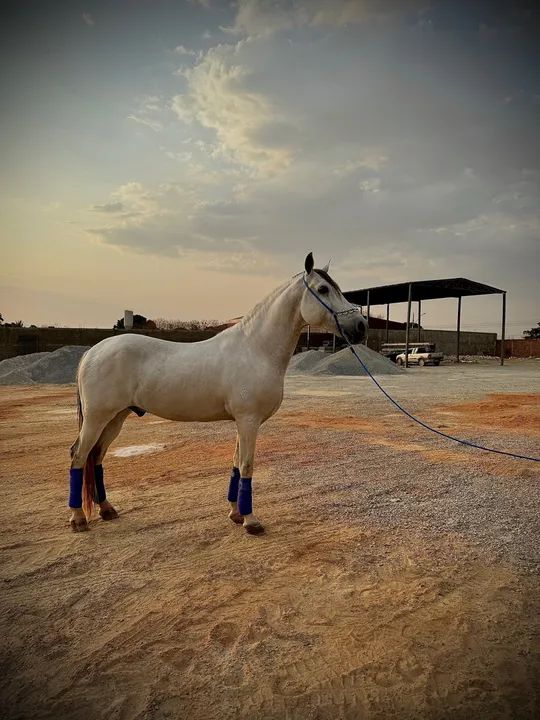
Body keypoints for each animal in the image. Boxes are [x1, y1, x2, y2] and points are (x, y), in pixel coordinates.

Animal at [68, 253, 367, 534]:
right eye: (323, 289)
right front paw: (251, 521)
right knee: (79, 456)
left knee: (96, 457)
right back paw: (78, 518)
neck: (255, 348)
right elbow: (246, 466)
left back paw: (107, 509)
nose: (361, 326)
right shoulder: (249, 421)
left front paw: (235, 514)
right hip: (97, 418)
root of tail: (93, 352)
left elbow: (235, 465)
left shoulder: (243, 422)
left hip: (116, 418)